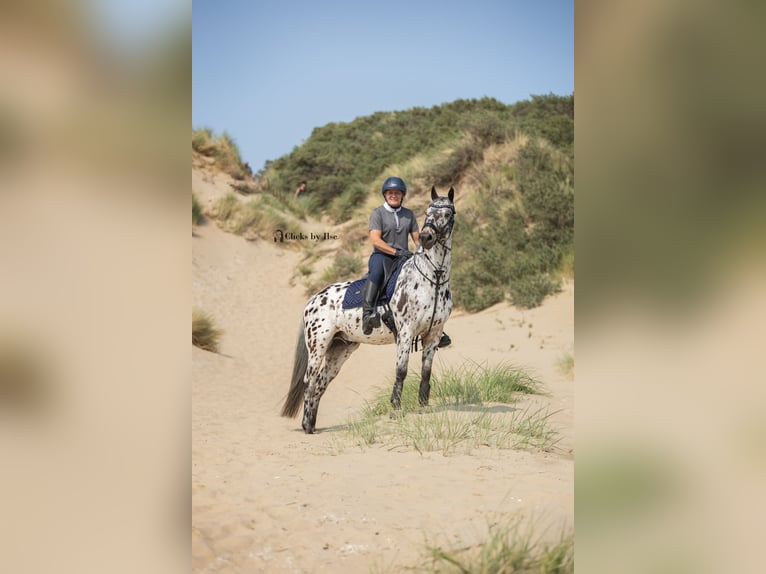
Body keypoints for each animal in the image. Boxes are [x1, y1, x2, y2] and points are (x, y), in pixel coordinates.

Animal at [281, 186, 456, 433]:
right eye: (427, 212)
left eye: (448, 214)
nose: (426, 237)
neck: (433, 279)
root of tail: (313, 299)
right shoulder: (405, 333)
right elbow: (401, 371)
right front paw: (396, 410)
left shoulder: (433, 335)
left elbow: (425, 372)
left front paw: (423, 408)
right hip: (318, 346)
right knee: (310, 381)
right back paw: (306, 426)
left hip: (340, 348)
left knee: (322, 383)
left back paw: (312, 425)